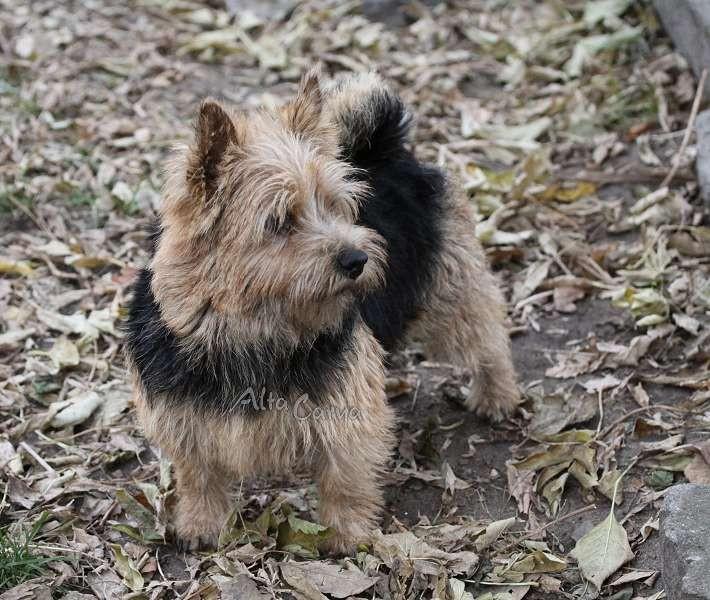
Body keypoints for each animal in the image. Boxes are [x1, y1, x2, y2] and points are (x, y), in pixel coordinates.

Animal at [125, 67, 520, 552]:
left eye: (335, 206)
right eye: (278, 222)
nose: (357, 259)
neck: (250, 329)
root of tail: (386, 149)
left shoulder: (347, 414)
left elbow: (344, 478)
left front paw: (346, 535)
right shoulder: (183, 417)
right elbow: (199, 476)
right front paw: (201, 524)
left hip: (452, 292)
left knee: (487, 339)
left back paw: (496, 394)